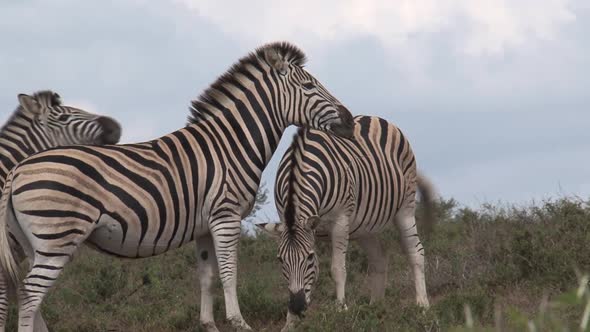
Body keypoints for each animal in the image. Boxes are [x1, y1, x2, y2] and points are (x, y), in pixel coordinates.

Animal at [256, 116, 438, 330]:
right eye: (280, 260)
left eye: (309, 257)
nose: (297, 307)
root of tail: (375, 117)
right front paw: (290, 323)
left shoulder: (340, 221)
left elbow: (338, 269)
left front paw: (341, 311)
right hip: (365, 226)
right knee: (379, 259)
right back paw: (375, 309)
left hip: (405, 207)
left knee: (415, 252)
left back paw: (422, 306)